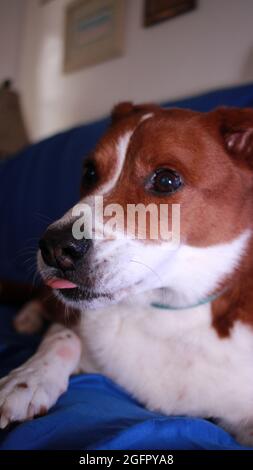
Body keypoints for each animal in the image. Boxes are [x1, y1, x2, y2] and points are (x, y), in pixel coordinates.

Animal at [0, 101, 253, 446]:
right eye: (90, 172)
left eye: (166, 180)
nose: (54, 247)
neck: (169, 310)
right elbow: (63, 336)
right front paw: (27, 378)